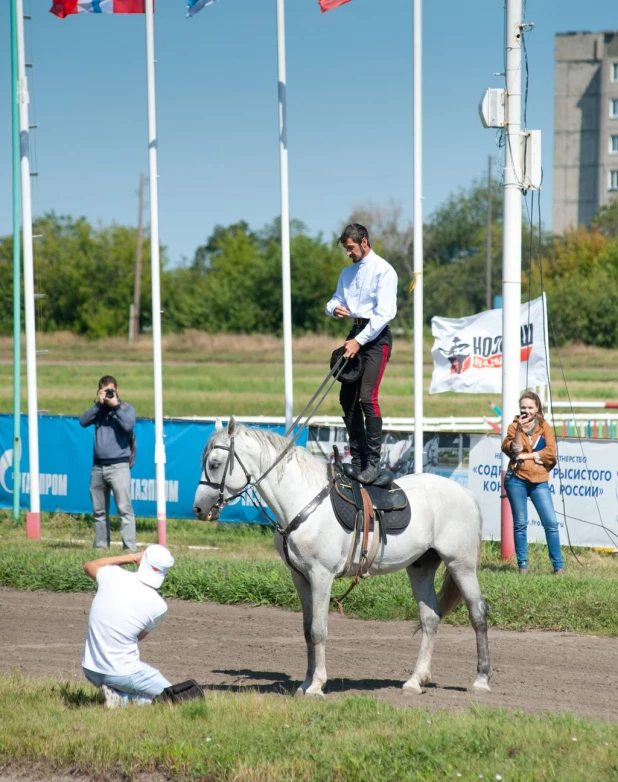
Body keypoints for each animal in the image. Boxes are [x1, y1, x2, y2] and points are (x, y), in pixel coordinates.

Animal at [192, 420, 490, 700]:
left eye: (215, 464)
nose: (198, 509)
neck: (302, 501)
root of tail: (466, 494)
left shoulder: (321, 575)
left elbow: (319, 630)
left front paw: (317, 685)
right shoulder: (300, 578)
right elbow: (307, 630)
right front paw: (305, 683)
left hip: (461, 564)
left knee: (478, 613)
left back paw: (481, 680)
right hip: (421, 567)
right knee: (430, 618)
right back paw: (415, 681)